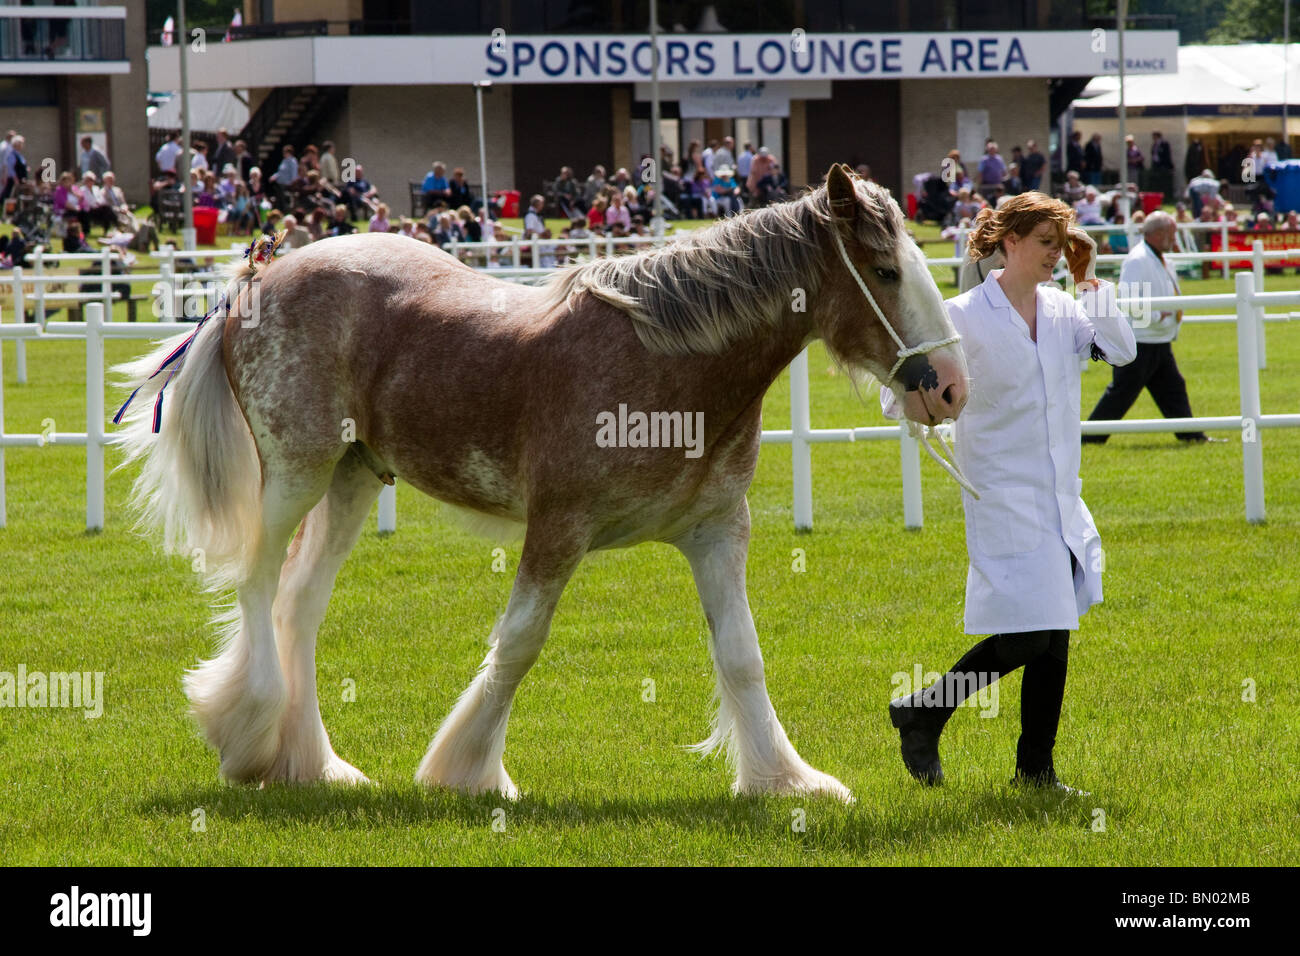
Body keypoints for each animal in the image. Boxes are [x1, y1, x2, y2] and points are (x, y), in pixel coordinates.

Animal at [113, 164, 968, 803]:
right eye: (886, 271)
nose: (952, 388)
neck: (667, 361)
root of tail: (258, 277)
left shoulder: (717, 531)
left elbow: (741, 654)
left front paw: (784, 781)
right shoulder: (558, 528)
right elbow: (519, 643)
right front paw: (467, 773)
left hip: (354, 481)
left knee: (299, 605)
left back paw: (312, 765)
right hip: (296, 472)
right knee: (257, 586)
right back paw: (247, 740)